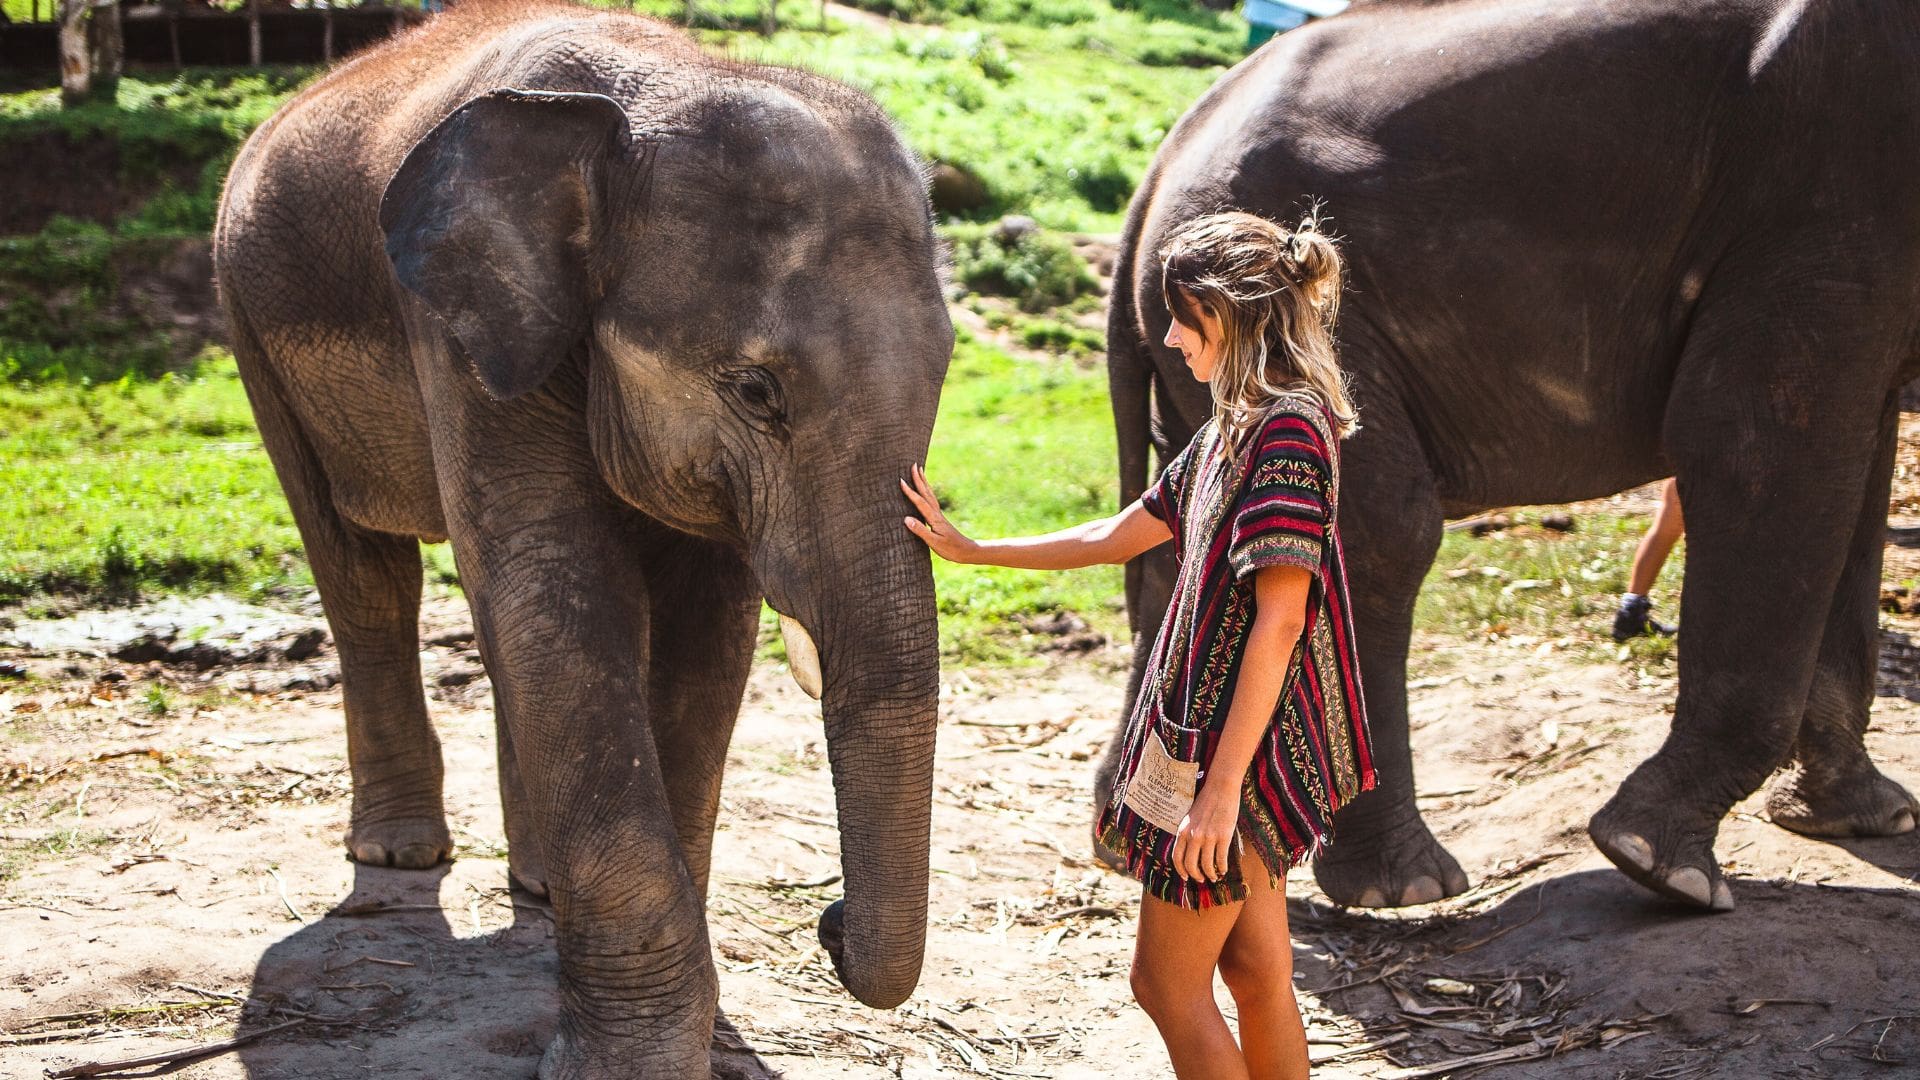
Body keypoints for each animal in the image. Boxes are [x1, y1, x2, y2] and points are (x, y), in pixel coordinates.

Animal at [213, 1, 952, 1075]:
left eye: (945, 373)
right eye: (755, 391)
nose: (827, 922)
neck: (665, 81)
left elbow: (705, 633)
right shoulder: (461, 331)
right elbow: (560, 586)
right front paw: (633, 1063)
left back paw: (537, 885)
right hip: (249, 327)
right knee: (364, 576)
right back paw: (399, 853)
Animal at [1100, 0, 1920, 914]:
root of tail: (1158, 168)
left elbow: (1857, 472)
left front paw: (1866, 820)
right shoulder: (1822, 182)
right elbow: (1754, 444)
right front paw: (1660, 866)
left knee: (1183, 543)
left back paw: (1134, 844)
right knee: (1384, 532)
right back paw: (1405, 886)